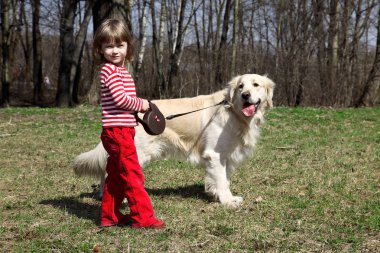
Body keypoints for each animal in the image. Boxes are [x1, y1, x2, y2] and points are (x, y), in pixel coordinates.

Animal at [74, 74, 274, 207]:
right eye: (240, 86)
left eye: (255, 85)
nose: (245, 95)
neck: (234, 112)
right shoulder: (215, 154)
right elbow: (222, 180)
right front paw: (227, 202)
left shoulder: (227, 155)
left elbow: (224, 179)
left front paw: (224, 196)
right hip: (138, 153)